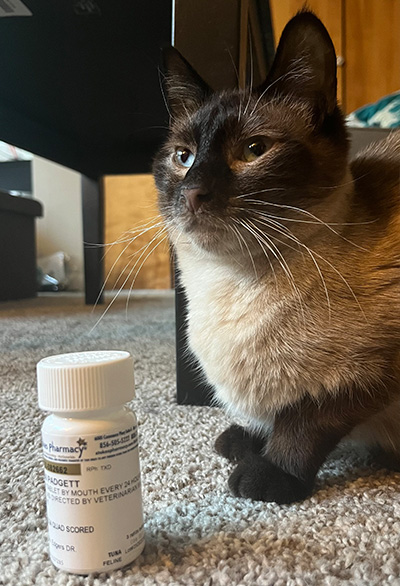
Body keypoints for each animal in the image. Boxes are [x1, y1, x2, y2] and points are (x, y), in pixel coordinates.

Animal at [152, 10, 400, 502]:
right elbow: (279, 414)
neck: (231, 283)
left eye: (253, 151)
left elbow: (305, 421)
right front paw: (246, 441)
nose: (192, 192)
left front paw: (270, 472)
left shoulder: (370, 374)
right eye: (183, 157)